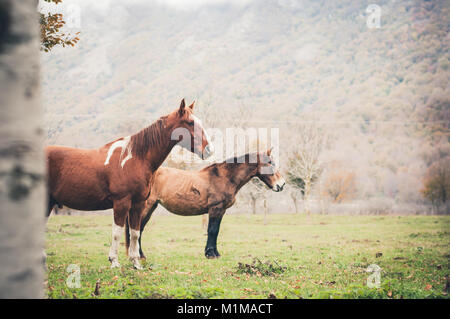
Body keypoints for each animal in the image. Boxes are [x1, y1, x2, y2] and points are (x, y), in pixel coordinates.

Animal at [46, 100, 214, 270]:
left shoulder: (138, 204)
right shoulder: (121, 203)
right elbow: (117, 232)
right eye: (190, 122)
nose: (209, 150)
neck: (135, 158)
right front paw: (114, 261)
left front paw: (136, 262)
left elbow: (135, 233)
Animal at [124, 149, 284, 262]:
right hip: (146, 207)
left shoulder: (221, 211)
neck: (225, 178)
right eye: (270, 163)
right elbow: (212, 230)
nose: (281, 185)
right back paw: (139, 256)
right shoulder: (215, 209)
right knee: (137, 230)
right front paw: (210, 254)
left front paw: (215, 253)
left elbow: (216, 231)